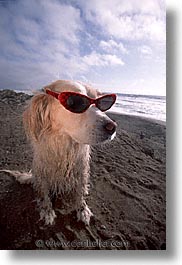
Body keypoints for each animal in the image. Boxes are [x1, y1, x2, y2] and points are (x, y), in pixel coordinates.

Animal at [1, 80, 116, 225]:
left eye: (101, 103)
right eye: (74, 102)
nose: (112, 127)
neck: (65, 148)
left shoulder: (81, 171)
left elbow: (80, 192)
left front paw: (82, 209)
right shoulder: (41, 174)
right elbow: (44, 194)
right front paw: (47, 210)